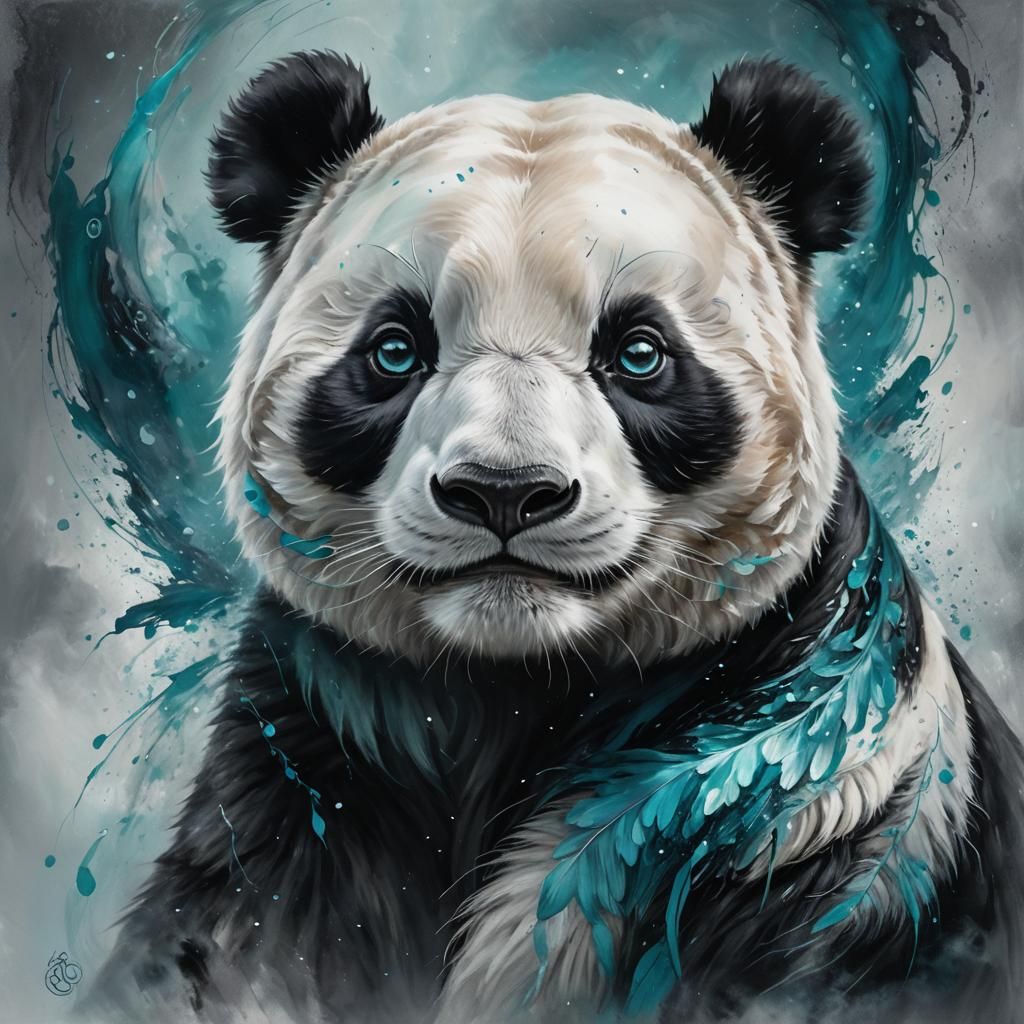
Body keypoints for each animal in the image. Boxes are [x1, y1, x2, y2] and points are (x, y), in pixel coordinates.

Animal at [89, 50, 1024, 1024]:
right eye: (395, 350)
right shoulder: (313, 758)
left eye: (640, 353)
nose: (505, 492)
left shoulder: (810, 799)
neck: (511, 689)